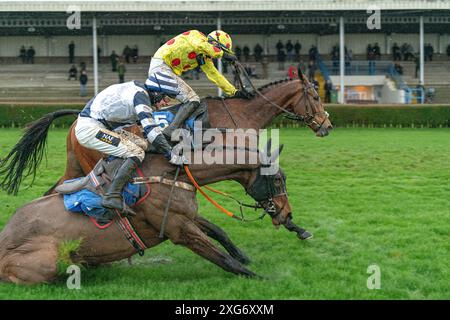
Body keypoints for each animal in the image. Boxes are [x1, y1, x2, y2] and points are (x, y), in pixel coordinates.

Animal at [0, 144, 294, 284]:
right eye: (278, 180)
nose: (287, 215)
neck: (172, 174)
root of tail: (5, 238)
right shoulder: (180, 229)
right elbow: (223, 259)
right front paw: (264, 279)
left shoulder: (186, 216)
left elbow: (220, 233)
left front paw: (246, 257)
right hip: (47, 261)